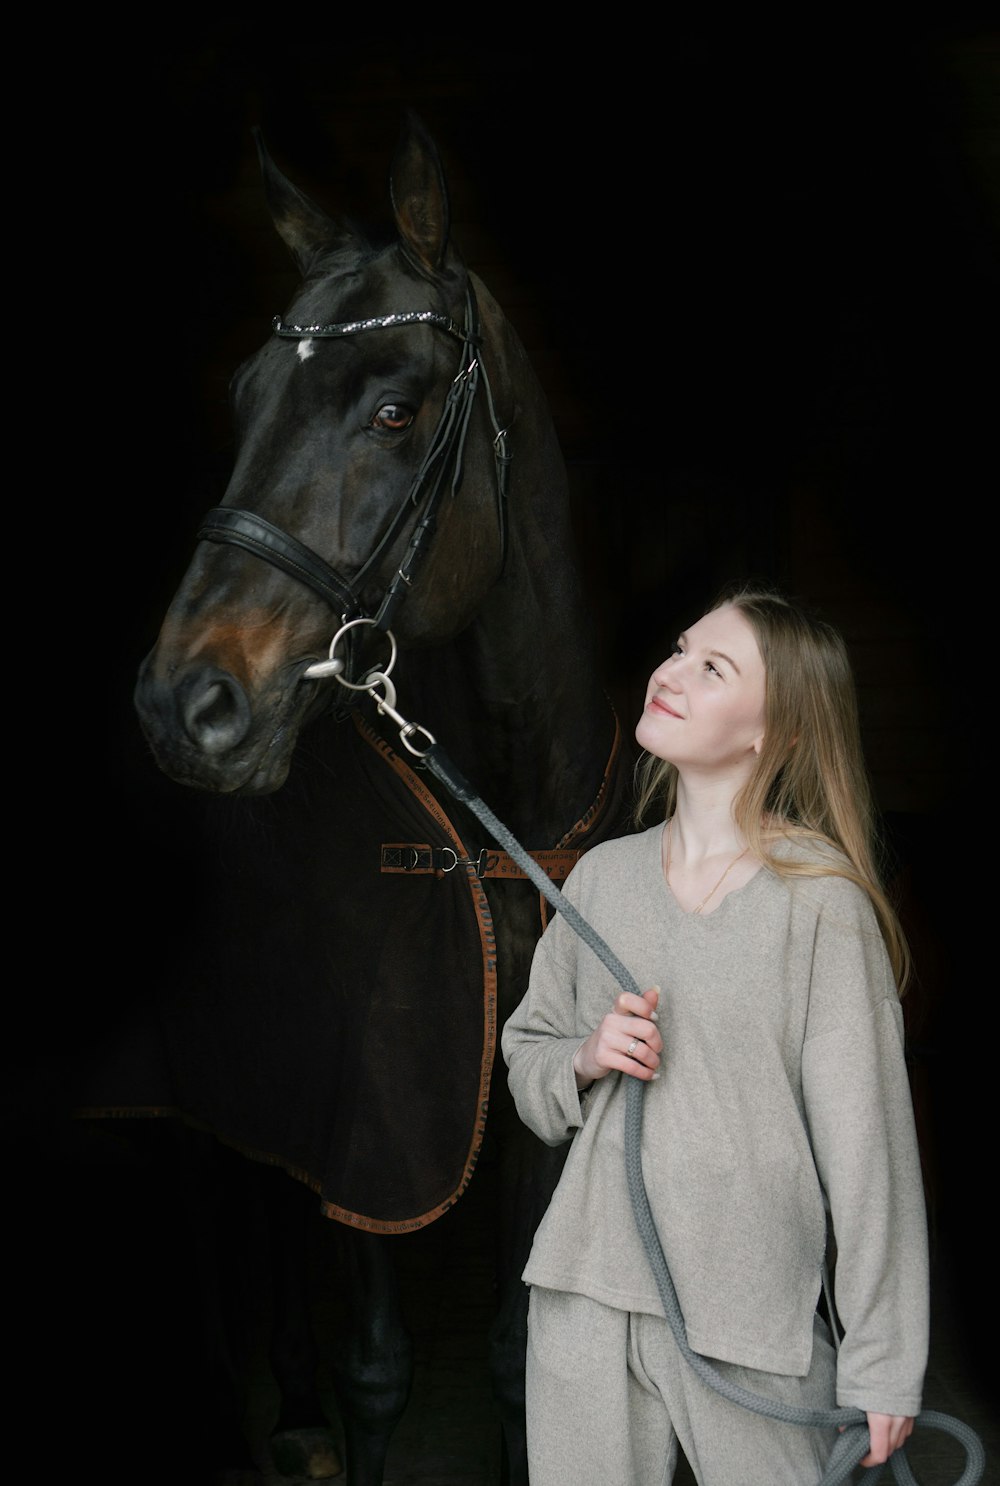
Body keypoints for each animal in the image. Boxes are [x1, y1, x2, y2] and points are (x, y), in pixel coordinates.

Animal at [128, 112, 627, 1486]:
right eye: (243, 400)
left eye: (396, 411)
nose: (184, 705)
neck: (497, 812)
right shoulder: (375, 1101)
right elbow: (378, 1368)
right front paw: (332, 1404)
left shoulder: (534, 1100)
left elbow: (516, 1356)